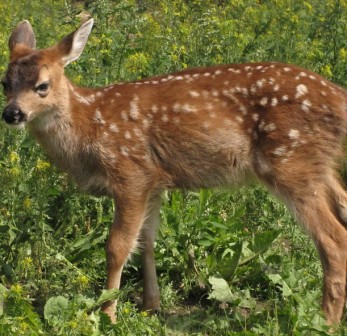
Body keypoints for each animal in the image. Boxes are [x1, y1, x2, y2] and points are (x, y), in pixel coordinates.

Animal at [2, 19, 347, 326]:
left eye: (42, 86)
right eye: (5, 82)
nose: (12, 113)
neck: (90, 125)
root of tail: (338, 98)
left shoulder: (130, 173)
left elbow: (117, 247)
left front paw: (108, 314)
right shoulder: (154, 182)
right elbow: (147, 240)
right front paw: (150, 305)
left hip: (291, 162)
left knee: (334, 240)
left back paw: (325, 322)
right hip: (318, 167)